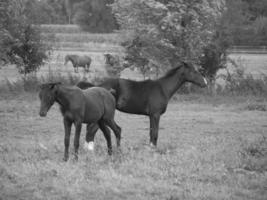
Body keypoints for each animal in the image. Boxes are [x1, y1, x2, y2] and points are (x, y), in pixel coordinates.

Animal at [76, 61, 208, 148]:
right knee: (91, 129)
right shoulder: (155, 114)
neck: (162, 88)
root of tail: (96, 86)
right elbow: (155, 133)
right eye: (194, 71)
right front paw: (153, 150)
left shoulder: (151, 116)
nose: (205, 83)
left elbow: (151, 132)